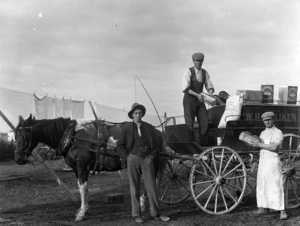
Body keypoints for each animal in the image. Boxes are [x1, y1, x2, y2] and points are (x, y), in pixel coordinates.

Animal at [14, 115, 166, 221]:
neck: (73, 137)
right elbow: (81, 187)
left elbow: (83, 188)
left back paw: (144, 203)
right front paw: (83, 208)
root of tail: (158, 132)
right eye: (15, 136)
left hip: (152, 162)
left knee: (151, 181)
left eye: (24, 136)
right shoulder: (76, 169)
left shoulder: (82, 166)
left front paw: (82, 212)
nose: (18, 159)